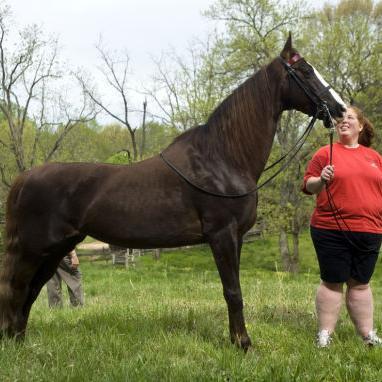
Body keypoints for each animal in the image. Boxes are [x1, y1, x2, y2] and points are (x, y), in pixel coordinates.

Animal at [0, 35, 344, 350]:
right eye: (305, 71)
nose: (339, 110)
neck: (222, 158)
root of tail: (23, 179)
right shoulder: (222, 234)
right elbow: (233, 292)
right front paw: (244, 344)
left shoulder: (236, 237)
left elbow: (233, 290)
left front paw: (236, 340)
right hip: (35, 248)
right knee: (17, 288)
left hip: (56, 249)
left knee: (29, 291)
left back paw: (20, 340)